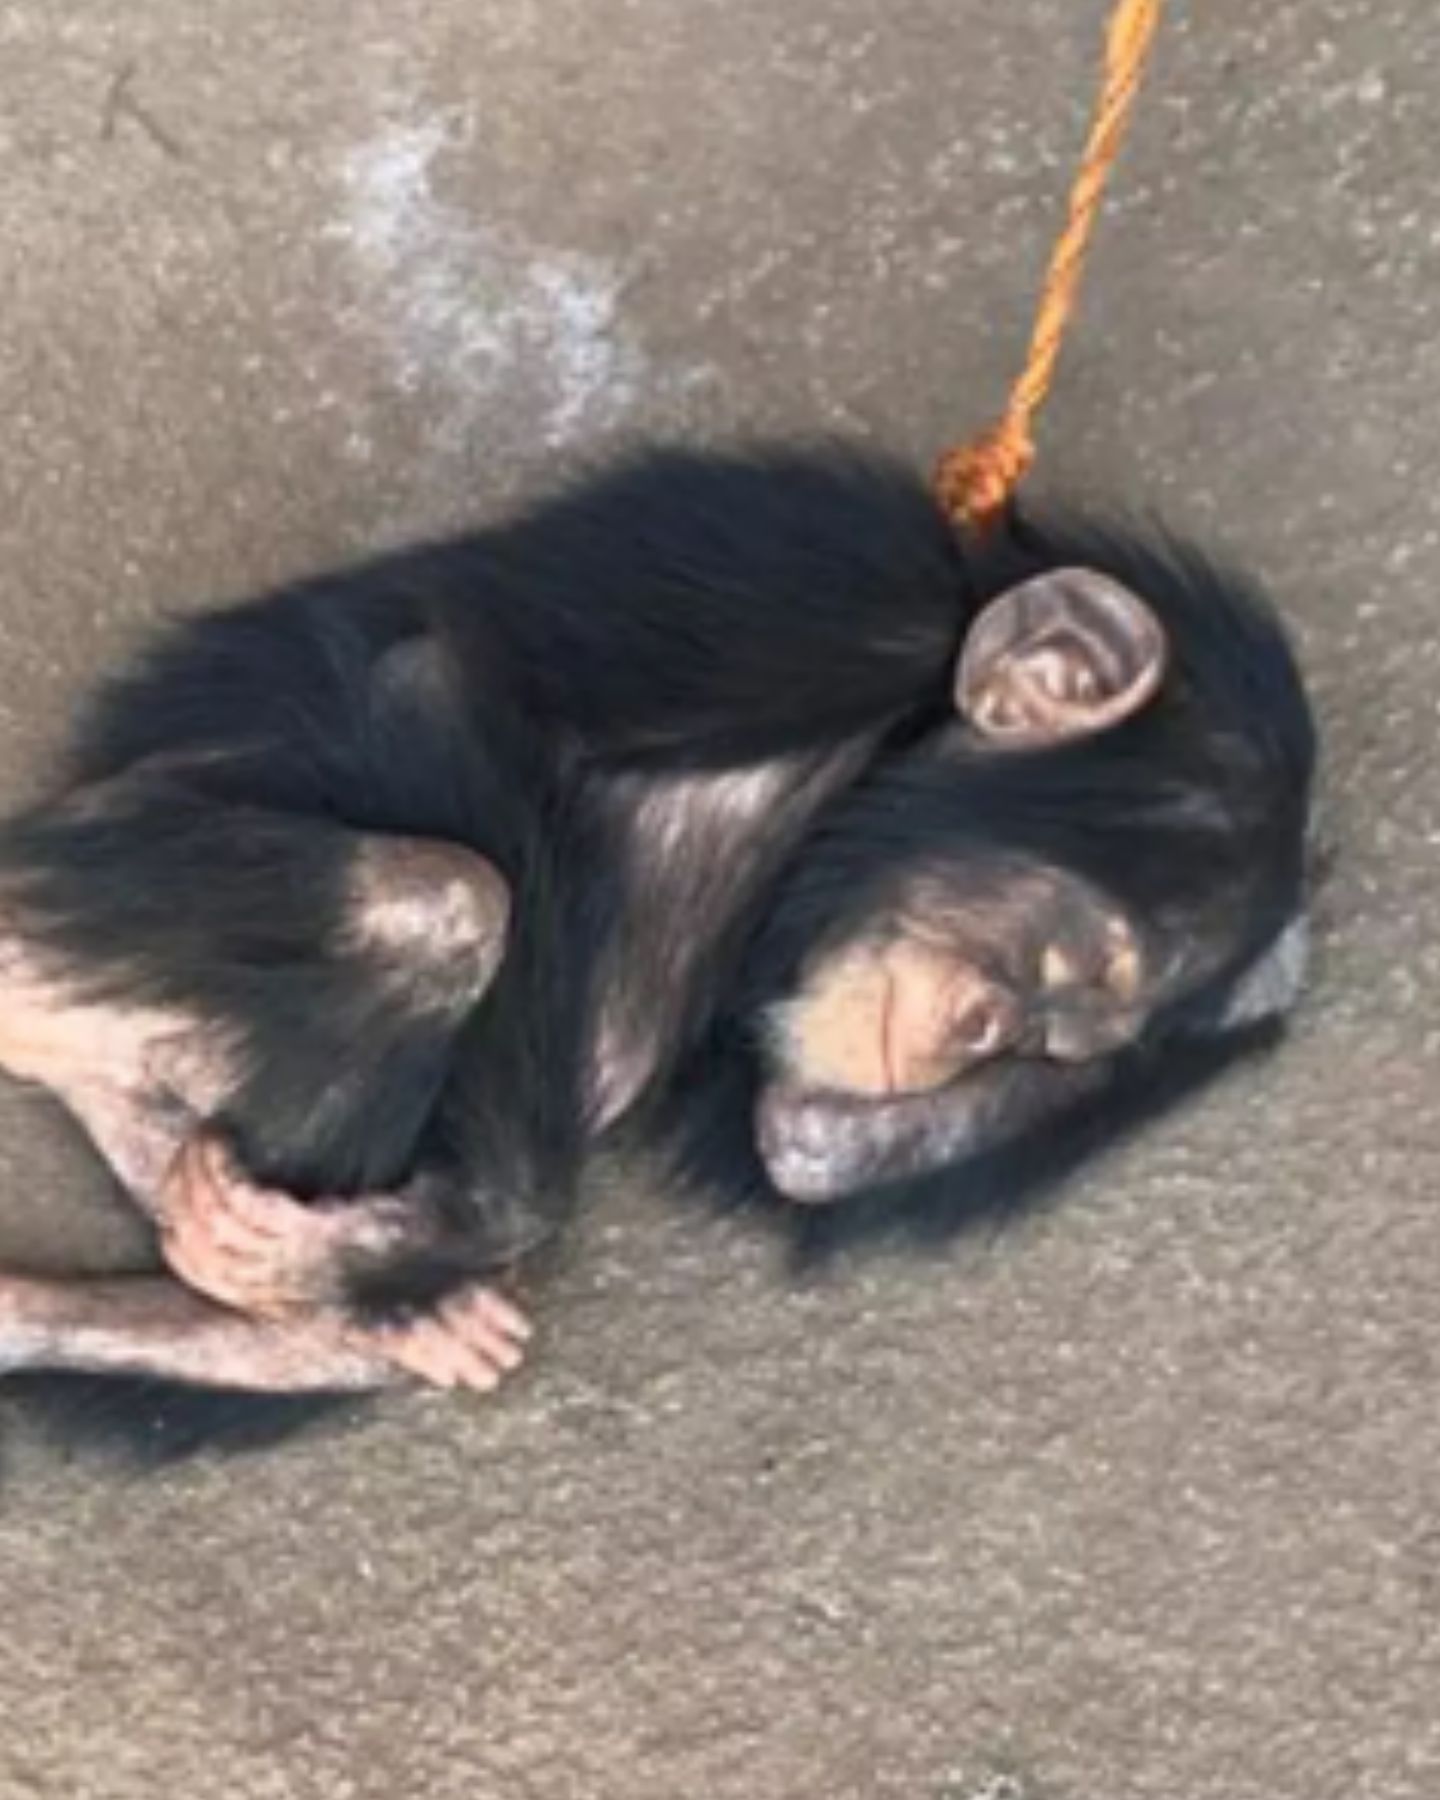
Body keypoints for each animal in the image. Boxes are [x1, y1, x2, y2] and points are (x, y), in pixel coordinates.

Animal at [0, 446, 1317, 1404]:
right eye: (1064, 953)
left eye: (1068, 1037)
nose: (993, 1031)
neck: (865, 770)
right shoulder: (826, 597)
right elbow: (429, 678)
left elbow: (802, 1142)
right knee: (440, 908)